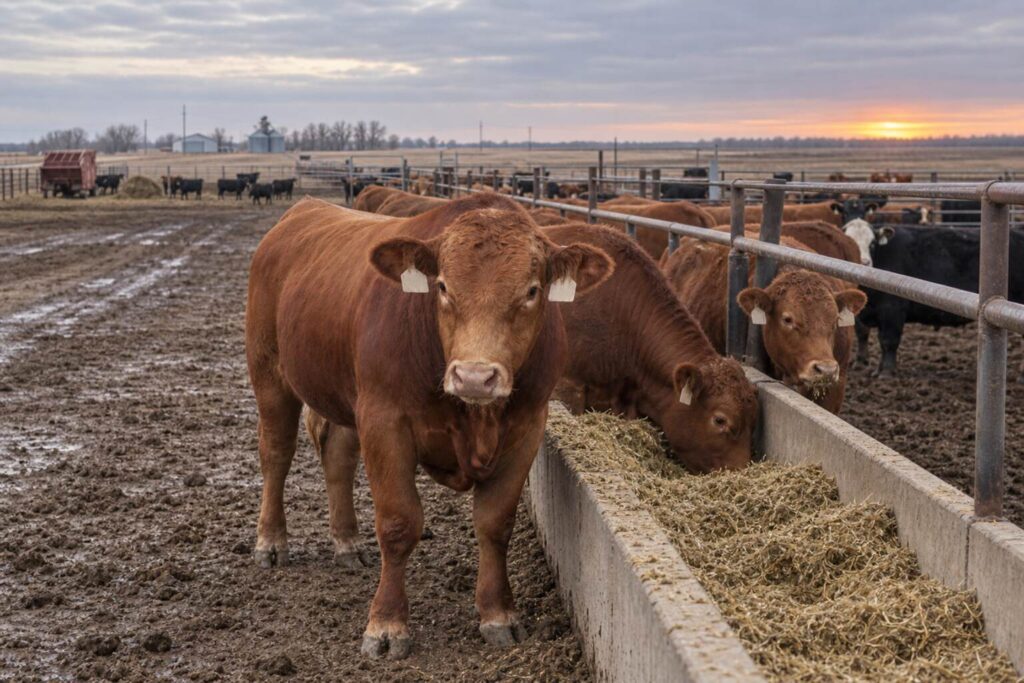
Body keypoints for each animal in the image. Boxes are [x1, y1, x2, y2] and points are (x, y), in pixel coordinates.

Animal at [245, 193, 612, 658]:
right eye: (442, 287)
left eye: (532, 290)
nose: (474, 377)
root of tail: (304, 208)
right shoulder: (384, 421)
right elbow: (399, 522)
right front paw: (386, 625)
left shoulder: (527, 426)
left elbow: (495, 523)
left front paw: (498, 615)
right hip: (270, 373)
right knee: (276, 453)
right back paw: (271, 543)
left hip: (346, 394)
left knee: (338, 457)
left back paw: (346, 543)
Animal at [852, 225, 1024, 378]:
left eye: (872, 243)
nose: (862, 262)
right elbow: (874, 338)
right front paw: (874, 368)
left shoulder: (892, 310)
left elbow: (889, 341)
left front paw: (886, 372)